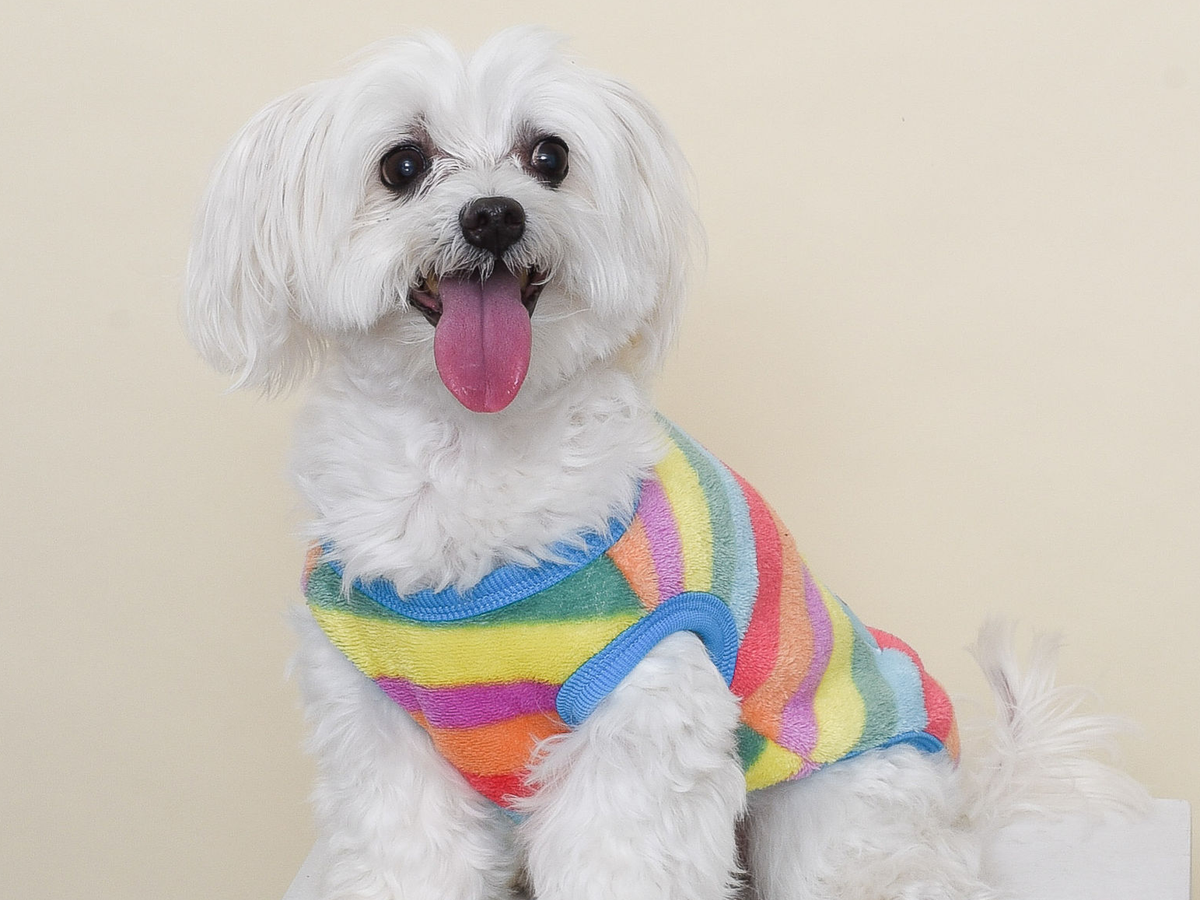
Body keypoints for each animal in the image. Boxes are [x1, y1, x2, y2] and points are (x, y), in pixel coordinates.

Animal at [185, 28, 1144, 900]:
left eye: (549, 156)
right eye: (403, 164)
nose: (495, 213)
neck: (468, 450)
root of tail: (963, 811)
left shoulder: (643, 705)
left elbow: (622, 850)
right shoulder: (380, 728)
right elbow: (404, 855)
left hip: (832, 802)